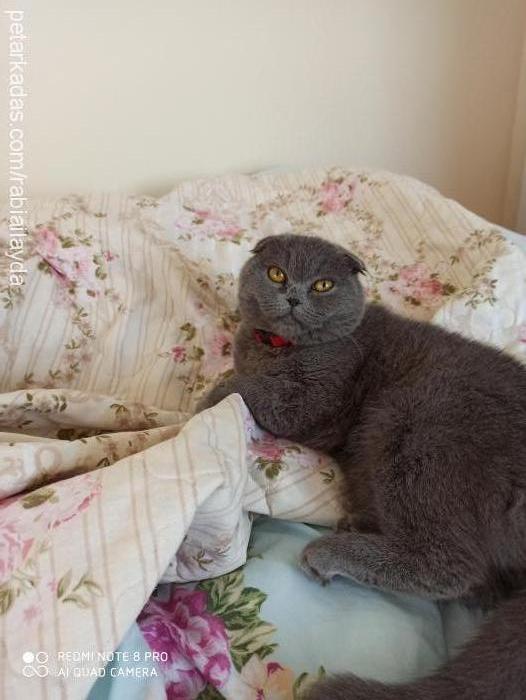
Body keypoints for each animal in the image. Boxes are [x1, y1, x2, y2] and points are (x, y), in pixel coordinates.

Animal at [199, 234, 526, 700]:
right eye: (277, 273)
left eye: (323, 284)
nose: (294, 295)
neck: (276, 348)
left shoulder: (312, 400)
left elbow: (249, 389)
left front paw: (208, 396)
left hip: (417, 422)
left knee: (452, 565)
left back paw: (331, 552)